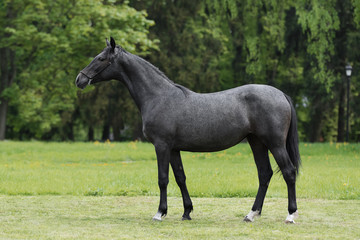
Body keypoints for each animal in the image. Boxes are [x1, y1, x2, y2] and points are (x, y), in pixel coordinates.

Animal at [76, 37, 300, 223]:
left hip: (275, 143)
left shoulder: (162, 146)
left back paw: (290, 215)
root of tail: (281, 94)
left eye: (101, 58)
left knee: (288, 172)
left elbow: (163, 179)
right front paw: (186, 212)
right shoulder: (174, 149)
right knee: (264, 174)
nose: (80, 79)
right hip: (257, 142)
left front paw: (160, 213)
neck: (159, 96)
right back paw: (251, 214)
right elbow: (180, 178)